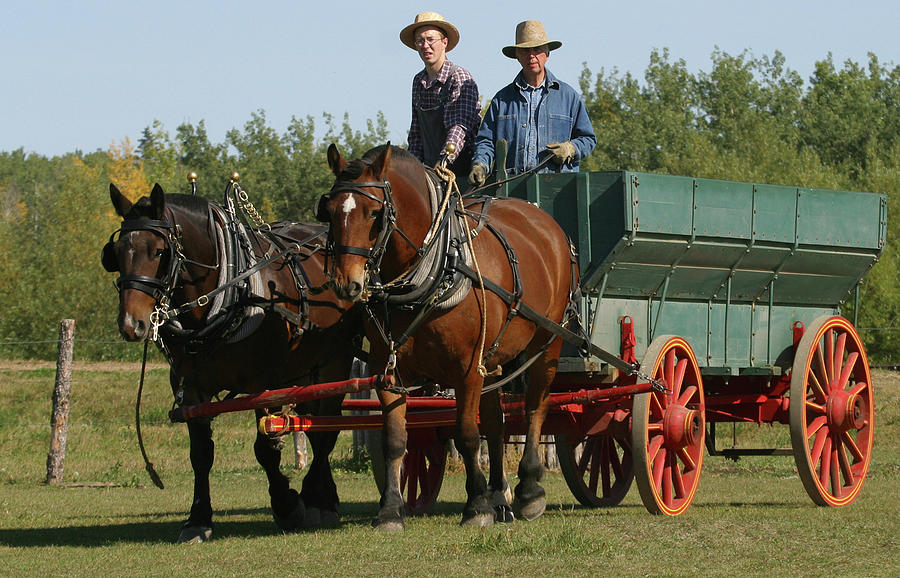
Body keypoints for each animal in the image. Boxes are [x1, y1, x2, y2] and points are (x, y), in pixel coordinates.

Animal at [104, 183, 358, 540]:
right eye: (116, 252)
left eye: (158, 252)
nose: (132, 324)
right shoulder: (191, 388)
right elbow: (200, 454)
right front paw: (198, 519)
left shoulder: (264, 383)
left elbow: (266, 449)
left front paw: (287, 505)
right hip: (304, 371)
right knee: (312, 424)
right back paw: (327, 496)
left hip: (333, 362)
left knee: (327, 430)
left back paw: (316, 500)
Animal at [318, 144, 576, 528]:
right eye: (330, 211)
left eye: (375, 213)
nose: (346, 283)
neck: (435, 271)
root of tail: (545, 223)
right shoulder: (387, 368)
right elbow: (395, 438)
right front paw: (391, 510)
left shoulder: (466, 368)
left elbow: (467, 434)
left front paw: (476, 507)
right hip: (493, 358)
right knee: (496, 423)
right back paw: (499, 496)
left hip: (547, 344)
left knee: (535, 408)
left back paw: (529, 491)